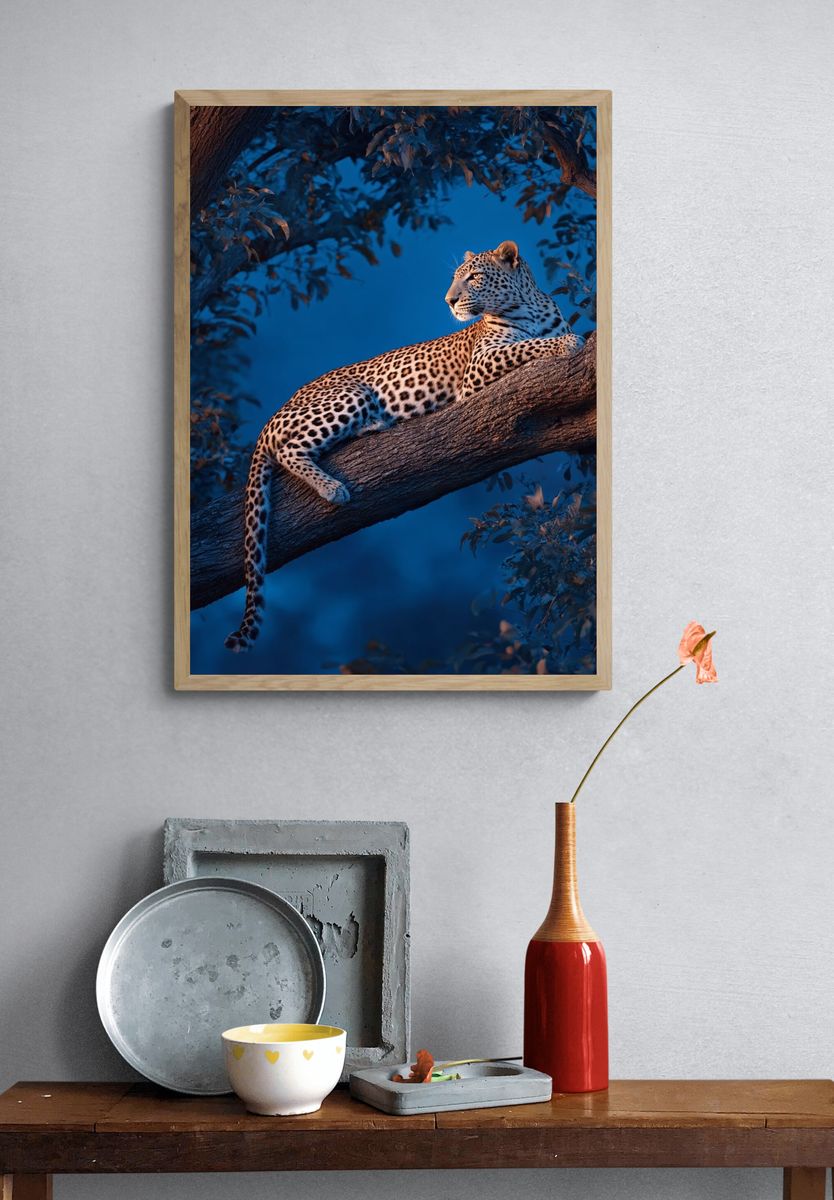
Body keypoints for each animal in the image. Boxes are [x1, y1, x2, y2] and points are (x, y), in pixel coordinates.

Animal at [225, 239, 582, 651]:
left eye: (474, 277)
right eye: (455, 279)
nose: (448, 300)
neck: (528, 306)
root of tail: (274, 414)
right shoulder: (479, 368)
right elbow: (529, 346)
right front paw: (567, 342)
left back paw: (375, 425)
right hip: (350, 394)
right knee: (289, 449)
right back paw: (333, 487)